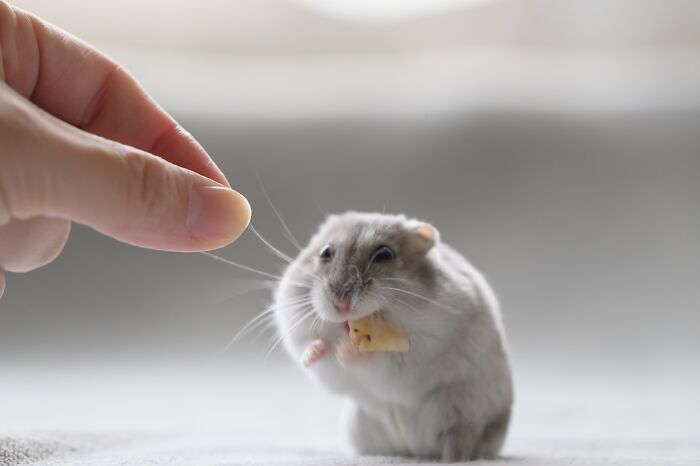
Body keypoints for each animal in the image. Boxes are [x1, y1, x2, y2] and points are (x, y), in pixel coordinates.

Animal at [273, 212, 513, 462]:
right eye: (325, 252)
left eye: (384, 255)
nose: (341, 304)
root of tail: (414, 449)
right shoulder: (302, 337)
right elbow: (312, 351)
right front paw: (319, 350)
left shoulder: (417, 355)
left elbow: (382, 362)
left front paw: (345, 350)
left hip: (460, 416)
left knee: (459, 444)